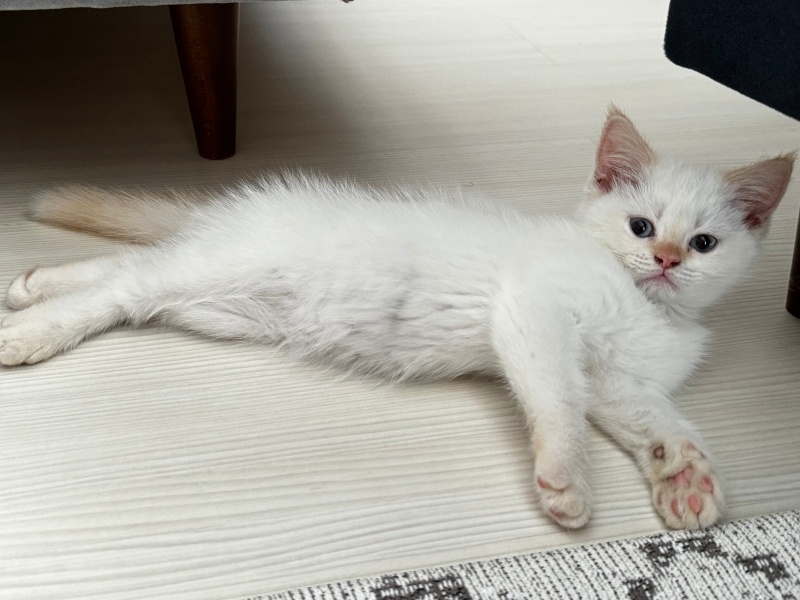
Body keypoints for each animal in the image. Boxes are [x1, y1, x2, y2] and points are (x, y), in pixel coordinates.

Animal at [1, 108, 792, 528]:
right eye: (640, 225)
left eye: (704, 243)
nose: (665, 260)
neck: (647, 307)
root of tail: (227, 213)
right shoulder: (534, 310)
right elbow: (557, 402)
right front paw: (568, 477)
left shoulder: (617, 380)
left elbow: (655, 418)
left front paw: (684, 474)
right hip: (226, 273)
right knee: (128, 284)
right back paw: (32, 331)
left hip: (223, 305)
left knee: (132, 272)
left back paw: (36, 283)